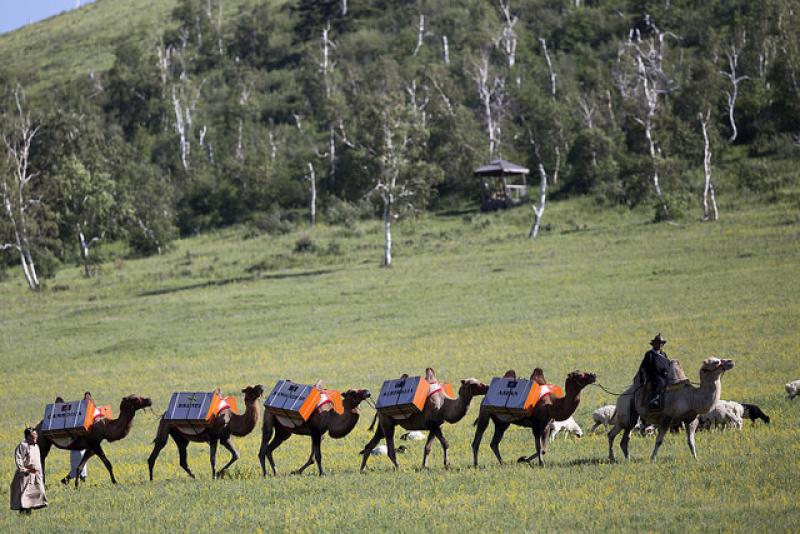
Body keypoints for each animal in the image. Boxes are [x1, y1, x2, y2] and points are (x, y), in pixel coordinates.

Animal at [360, 368, 488, 474]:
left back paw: (362, 469)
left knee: (369, 445)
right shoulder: (433, 424)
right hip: (387, 422)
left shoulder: (436, 426)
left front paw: (424, 466)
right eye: (474, 384)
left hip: (382, 425)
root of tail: (377, 408)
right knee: (390, 448)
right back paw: (399, 468)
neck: (444, 406)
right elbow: (445, 443)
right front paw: (447, 465)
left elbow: (427, 448)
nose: (487, 387)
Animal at [608, 360, 736, 464]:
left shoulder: (691, 420)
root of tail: (621, 396)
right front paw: (652, 459)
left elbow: (691, 441)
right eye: (715, 362)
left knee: (625, 438)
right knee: (612, 434)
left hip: (632, 418)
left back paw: (627, 458)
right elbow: (659, 441)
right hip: (624, 412)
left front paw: (695, 458)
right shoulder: (667, 418)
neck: (691, 398)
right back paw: (612, 458)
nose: (731, 361)